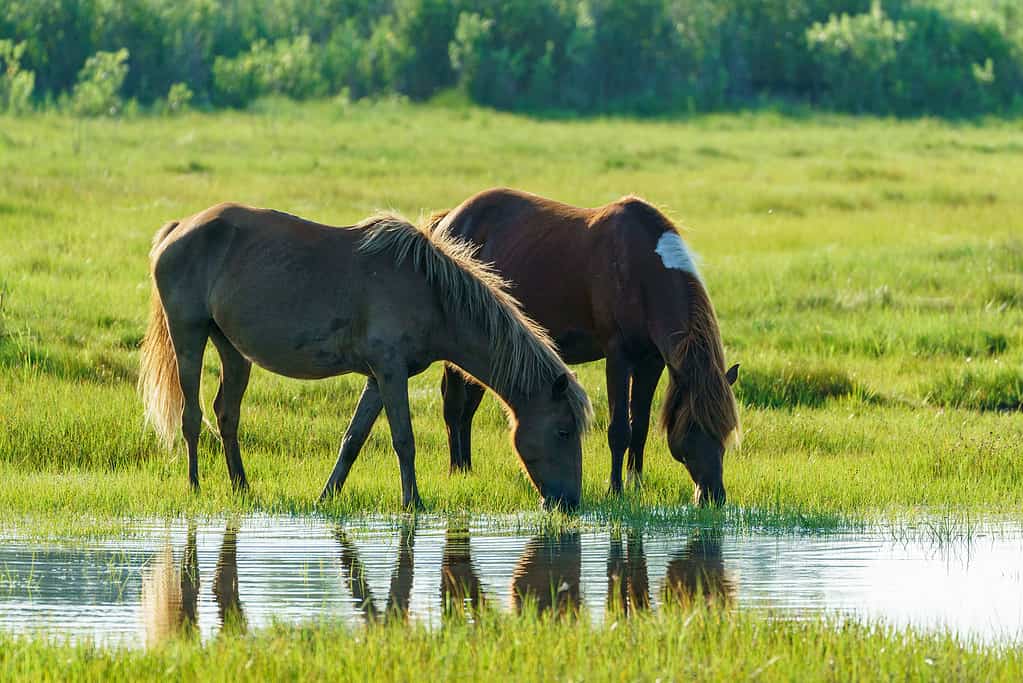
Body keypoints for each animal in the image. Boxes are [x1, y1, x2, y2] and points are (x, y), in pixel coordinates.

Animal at [138, 202, 592, 510]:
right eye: (563, 431)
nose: (569, 502)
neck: (432, 292)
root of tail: (178, 228)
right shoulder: (391, 372)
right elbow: (404, 439)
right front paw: (414, 503)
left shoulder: (378, 377)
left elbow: (353, 439)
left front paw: (327, 496)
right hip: (189, 336)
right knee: (192, 415)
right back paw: (195, 485)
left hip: (232, 349)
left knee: (226, 413)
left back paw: (242, 487)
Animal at [428, 188, 739, 505]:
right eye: (694, 427)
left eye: (725, 430)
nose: (714, 495)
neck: (641, 270)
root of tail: (449, 220)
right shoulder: (618, 356)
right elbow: (619, 430)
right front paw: (615, 489)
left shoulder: (651, 361)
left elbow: (639, 426)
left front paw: (635, 485)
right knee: (454, 407)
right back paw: (458, 470)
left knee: (468, 408)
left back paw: (467, 468)